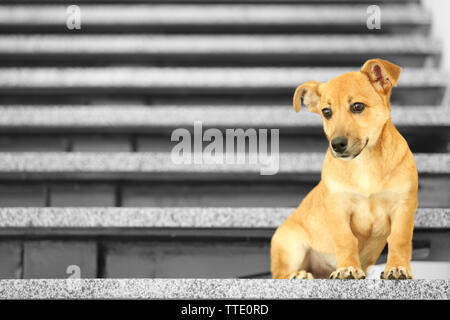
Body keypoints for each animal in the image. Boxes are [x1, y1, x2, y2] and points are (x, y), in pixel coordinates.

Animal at [272, 58, 420, 278]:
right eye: (326, 112)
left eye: (357, 106)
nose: (337, 144)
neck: (364, 162)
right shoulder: (338, 207)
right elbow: (346, 240)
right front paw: (348, 268)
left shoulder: (403, 206)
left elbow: (399, 240)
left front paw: (397, 267)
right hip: (291, 247)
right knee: (279, 274)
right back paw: (299, 275)